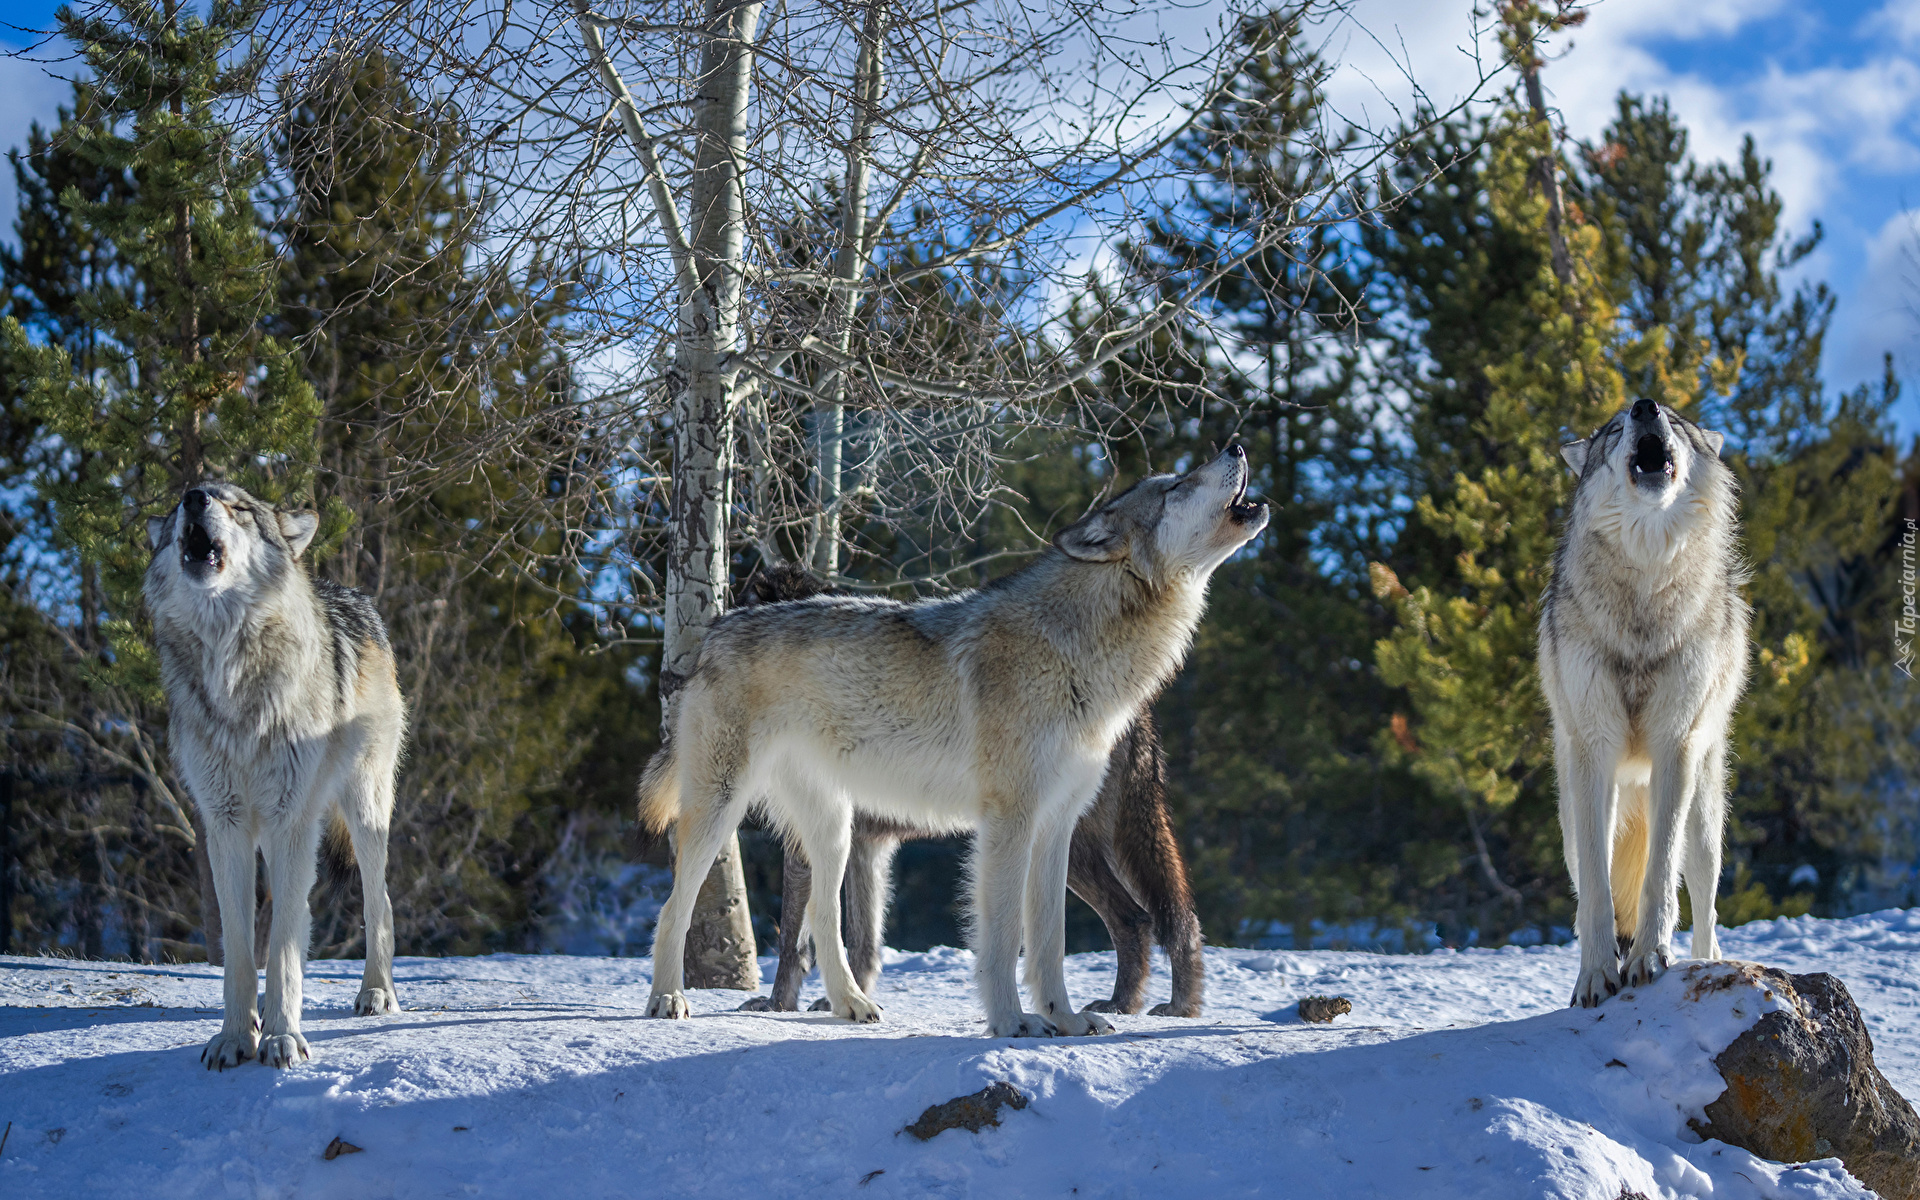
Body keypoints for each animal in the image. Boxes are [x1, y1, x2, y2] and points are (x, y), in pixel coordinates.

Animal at [146, 481, 408, 1059]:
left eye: (238, 506)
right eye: (177, 506)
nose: (195, 497)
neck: (233, 673)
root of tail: (352, 595)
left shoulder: (291, 820)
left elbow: (285, 947)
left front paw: (283, 1039)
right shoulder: (225, 824)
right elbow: (243, 949)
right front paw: (233, 1038)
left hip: (362, 809)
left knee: (378, 901)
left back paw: (376, 993)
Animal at [729, 564, 1198, 1013]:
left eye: (742, 607)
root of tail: (1136, 712)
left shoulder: (813, 842)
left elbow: (792, 936)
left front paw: (779, 1005)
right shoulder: (866, 843)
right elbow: (862, 938)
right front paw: (850, 1000)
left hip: (1075, 845)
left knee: (1137, 918)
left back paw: (1125, 1005)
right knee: (1162, 915)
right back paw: (1167, 1005)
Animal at [1536, 403, 1751, 1013]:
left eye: (1676, 422)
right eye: (1613, 430)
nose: (1645, 406)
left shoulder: (1675, 745)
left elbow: (1660, 876)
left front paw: (1649, 959)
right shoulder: (1593, 753)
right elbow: (1598, 895)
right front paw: (1594, 978)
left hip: (1704, 818)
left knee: (1704, 904)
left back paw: (1705, 965)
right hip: (1571, 821)